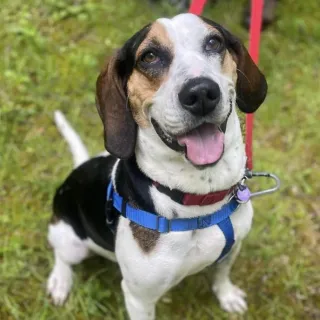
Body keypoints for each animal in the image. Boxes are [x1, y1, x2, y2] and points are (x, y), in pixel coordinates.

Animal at [47, 13, 268, 320]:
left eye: (214, 42)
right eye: (149, 56)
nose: (201, 93)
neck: (200, 199)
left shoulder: (233, 247)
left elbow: (221, 274)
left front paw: (226, 295)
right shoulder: (139, 297)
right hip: (70, 241)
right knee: (61, 256)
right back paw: (60, 280)